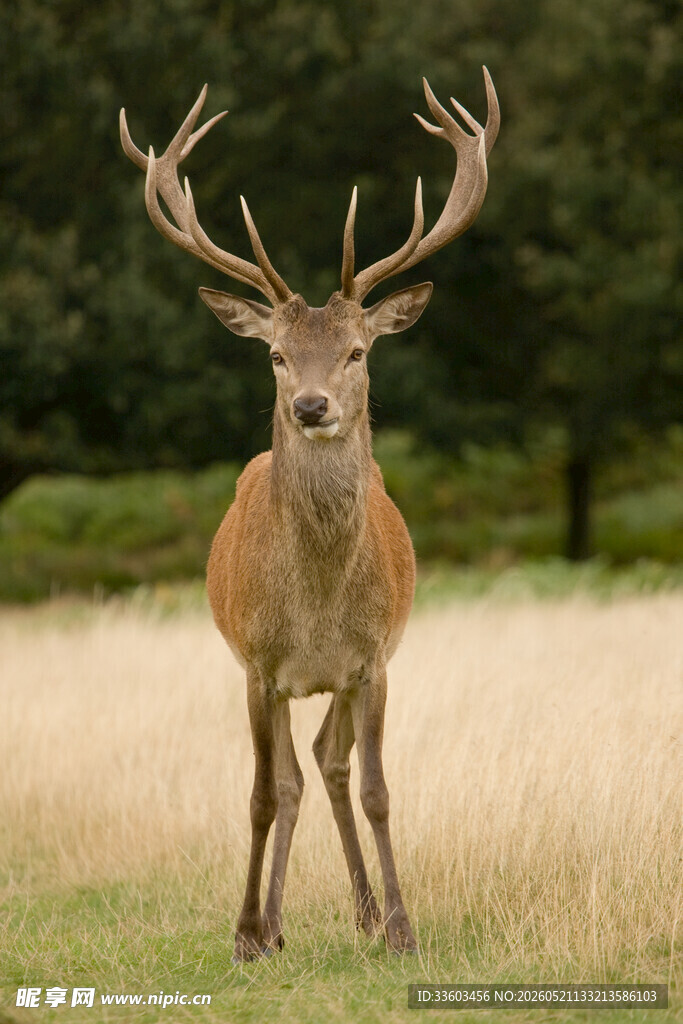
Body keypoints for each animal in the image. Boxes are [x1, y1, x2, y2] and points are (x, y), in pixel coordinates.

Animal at [120, 69, 499, 962]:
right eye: (275, 354)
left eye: (357, 350)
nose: (312, 405)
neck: (318, 607)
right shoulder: (257, 665)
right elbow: (263, 794)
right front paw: (245, 933)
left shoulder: (373, 661)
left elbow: (376, 788)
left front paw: (400, 926)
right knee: (291, 779)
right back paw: (276, 923)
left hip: (347, 676)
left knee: (326, 764)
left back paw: (359, 911)